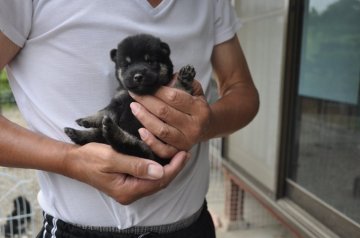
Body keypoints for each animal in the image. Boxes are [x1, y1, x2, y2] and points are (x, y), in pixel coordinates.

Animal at [63, 34, 195, 165]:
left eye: (150, 61)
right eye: (127, 65)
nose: (138, 76)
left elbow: (180, 89)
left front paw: (185, 78)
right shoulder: (118, 102)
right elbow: (103, 112)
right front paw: (87, 119)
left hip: (149, 154)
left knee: (132, 146)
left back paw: (113, 132)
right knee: (97, 135)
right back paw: (75, 133)